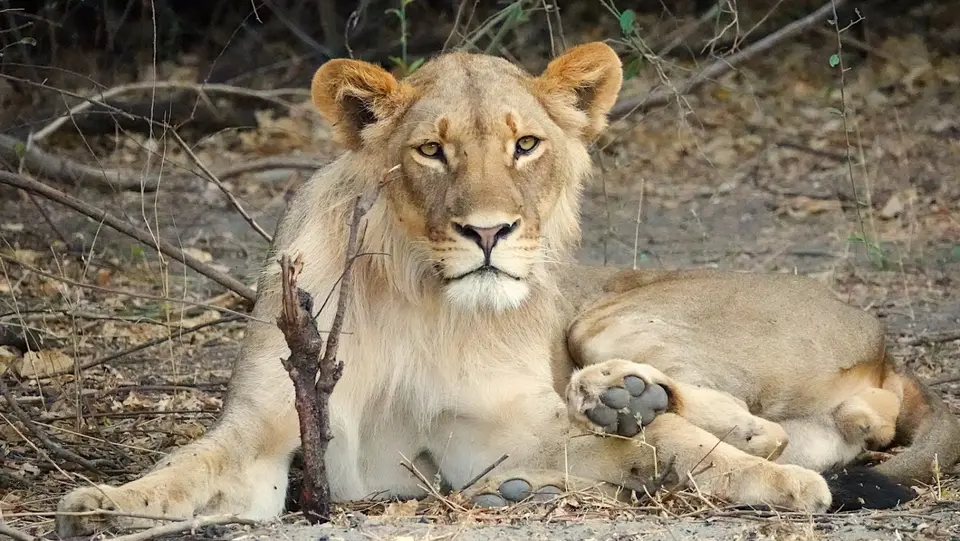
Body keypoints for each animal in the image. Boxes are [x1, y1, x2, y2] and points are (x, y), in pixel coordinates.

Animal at [56, 42, 960, 537]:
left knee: (774, 420)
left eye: (526, 144)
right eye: (431, 150)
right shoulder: (263, 436)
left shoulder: (505, 423)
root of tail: (890, 344)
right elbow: (184, 469)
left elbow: (672, 443)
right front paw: (101, 504)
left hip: (615, 311)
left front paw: (769, 483)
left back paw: (640, 402)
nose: (487, 232)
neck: (425, 300)